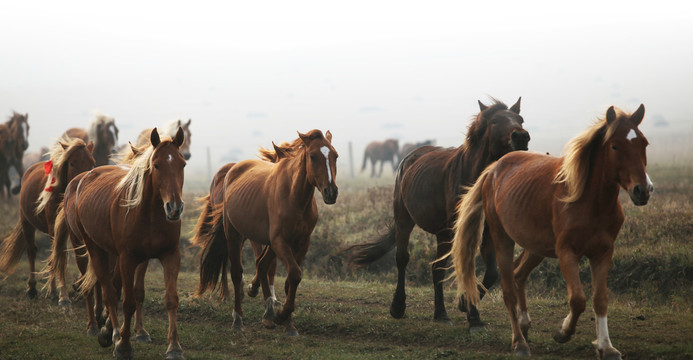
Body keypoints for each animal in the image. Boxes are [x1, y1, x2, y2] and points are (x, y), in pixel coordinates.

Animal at [0, 136, 94, 300]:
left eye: (92, 163)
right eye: (72, 163)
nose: (83, 183)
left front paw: (78, 285)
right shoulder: (54, 227)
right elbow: (59, 256)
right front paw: (62, 295)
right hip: (27, 223)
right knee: (32, 251)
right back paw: (32, 288)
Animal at [46, 128, 188, 358]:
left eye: (182, 164)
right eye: (157, 165)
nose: (174, 208)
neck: (149, 215)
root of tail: (81, 180)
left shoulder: (170, 255)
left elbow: (170, 299)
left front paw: (174, 347)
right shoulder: (128, 259)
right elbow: (127, 302)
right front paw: (123, 345)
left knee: (108, 288)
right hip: (90, 248)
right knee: (104, 290)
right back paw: (103, 330)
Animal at [195, 129, 338, 334]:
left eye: (335, 155)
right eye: (312, 156)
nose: (331, 192)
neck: (294, 198)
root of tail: (231, 171)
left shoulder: (302, 243)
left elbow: (288, 279)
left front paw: (287, 323)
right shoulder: (278, 241)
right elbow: (293, 274)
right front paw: (280, 315)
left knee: (261, 265)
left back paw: (264, 310)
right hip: (234, 235)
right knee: (236, 272)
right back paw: (237, 318)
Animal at [346, 97, 528, 328]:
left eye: (520, 119)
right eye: (495, 121)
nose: (521, 137)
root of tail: (410, 157)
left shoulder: (487, 232)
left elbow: (491, 273)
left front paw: (466, 306)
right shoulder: (452, 231)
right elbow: (450, 268)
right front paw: (460, 312)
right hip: (406, 221)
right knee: (405, 259)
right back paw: (400, 307)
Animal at [452, 104, 652, 358]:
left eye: (644, 143)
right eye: (615, 145)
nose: (643, 190)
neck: (590, 202)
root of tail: (493, 169)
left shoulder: (603, 252)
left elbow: (600, 299)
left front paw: (606, 346)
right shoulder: (567, 252)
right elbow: (577, 299)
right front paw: (563, 332)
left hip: (536, 247)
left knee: (519, 274)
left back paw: (524, 325)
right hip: (502, 238)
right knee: (508, 289)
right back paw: (519, 342)